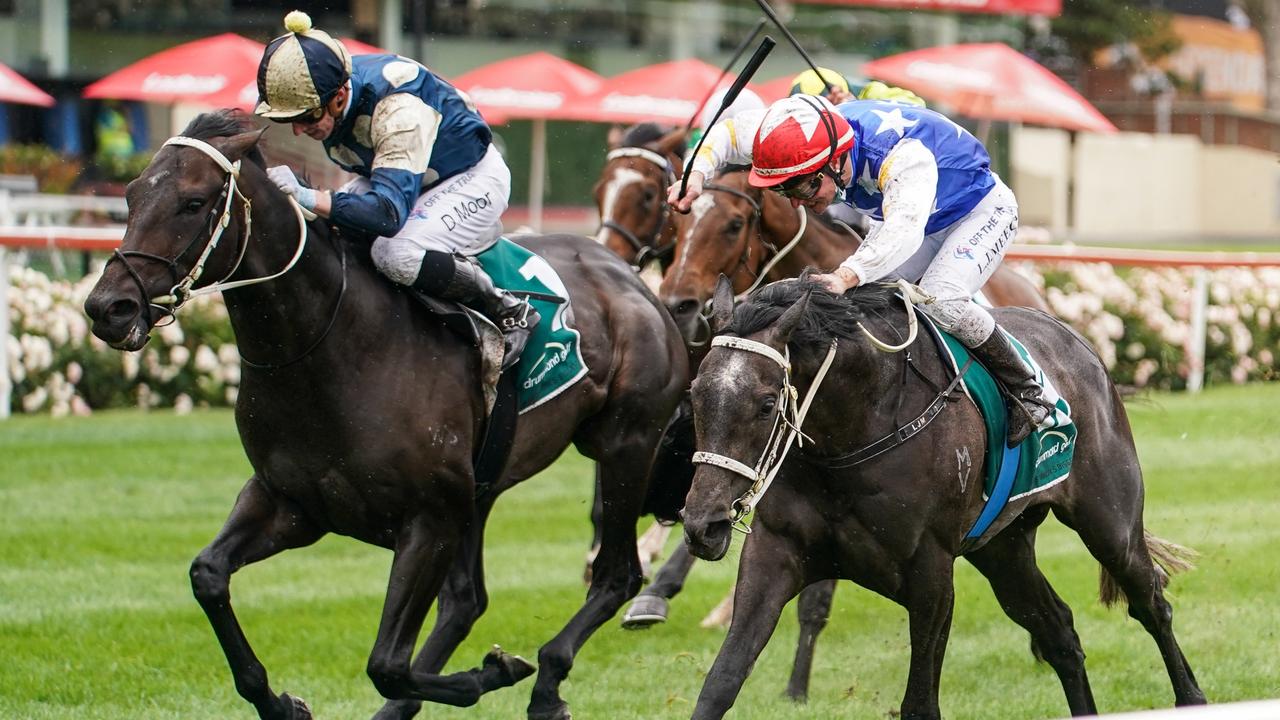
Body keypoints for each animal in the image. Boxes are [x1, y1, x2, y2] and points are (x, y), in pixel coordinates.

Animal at [81, 110, 691, 717]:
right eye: (132, 194)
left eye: (193, 201)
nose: (108, 307)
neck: (331, 346)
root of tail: (635, 281)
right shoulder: (292, 503)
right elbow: (207, 575)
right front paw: (281, 702)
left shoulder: (428, 519)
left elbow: (387, 664)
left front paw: (493, 672)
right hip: (481, 487)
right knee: (466, 601)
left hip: (624, 446)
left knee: (615, 576)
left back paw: (546, 680)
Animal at [686, 271, 1203, 712]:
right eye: (694, 394)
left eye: (766, 403)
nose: (702, 525)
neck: (856, 429)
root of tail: (1074, 338)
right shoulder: (775, 553)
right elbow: (721, 682)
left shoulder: (930, 572)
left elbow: (919, 702)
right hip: (1004, 549)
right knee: (1059, 632)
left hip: (1109, 523)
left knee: (1152, 604)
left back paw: (1192, 697)